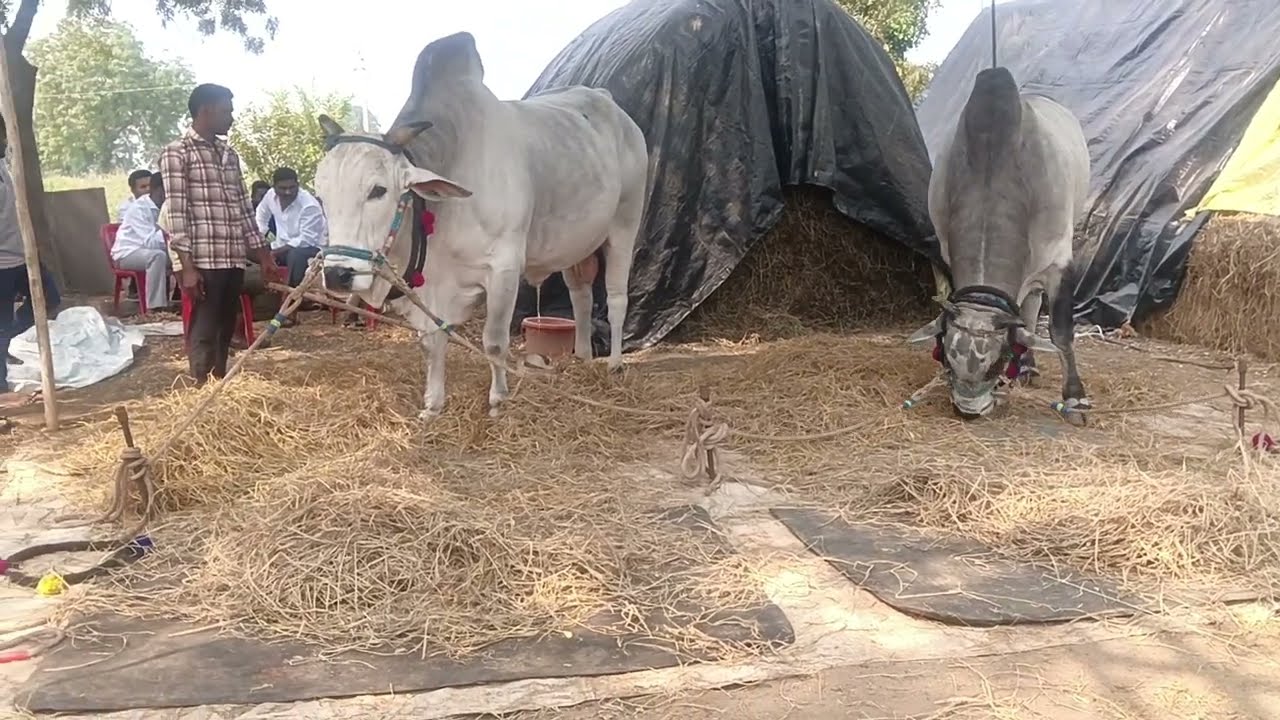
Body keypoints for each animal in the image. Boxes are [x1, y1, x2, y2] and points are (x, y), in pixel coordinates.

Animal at [314, 32, 649, 420]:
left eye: (378, 190)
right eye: (320, 193)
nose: (337, 275)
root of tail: (608, 101)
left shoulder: (503, 267)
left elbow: (494, 341)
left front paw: (498, 399)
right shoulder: (434, 286)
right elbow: (432, 341)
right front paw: (433, 405)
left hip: (625, 225)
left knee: (616, 298)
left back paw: (614, 364)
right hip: (575, 244)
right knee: (581, 296)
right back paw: (581, 357)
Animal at [907, 67, 1091, 420]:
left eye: (998, 361)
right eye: (945, 357)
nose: (969, 410)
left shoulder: (1059, 262)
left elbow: (1061, 332)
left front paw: (1075, 397)